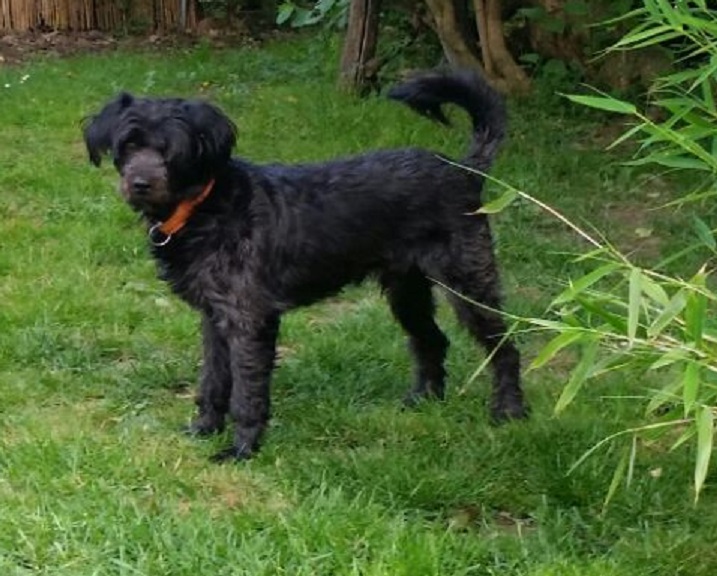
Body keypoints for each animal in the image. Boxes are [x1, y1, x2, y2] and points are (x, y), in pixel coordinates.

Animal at [83, 70, 527, 461]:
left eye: (170, 151)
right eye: (129, 145)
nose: (140, 183)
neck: (205, 206)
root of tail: (465, 171)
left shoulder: (250, 319)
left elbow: (246, 391)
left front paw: (242, 449)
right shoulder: (214, 317)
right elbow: (212, 380)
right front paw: (205, 428)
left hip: (468, 281)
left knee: (505, 347)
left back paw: (509, 412)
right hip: (407, 292)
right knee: (432, 341)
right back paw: (424, 400)